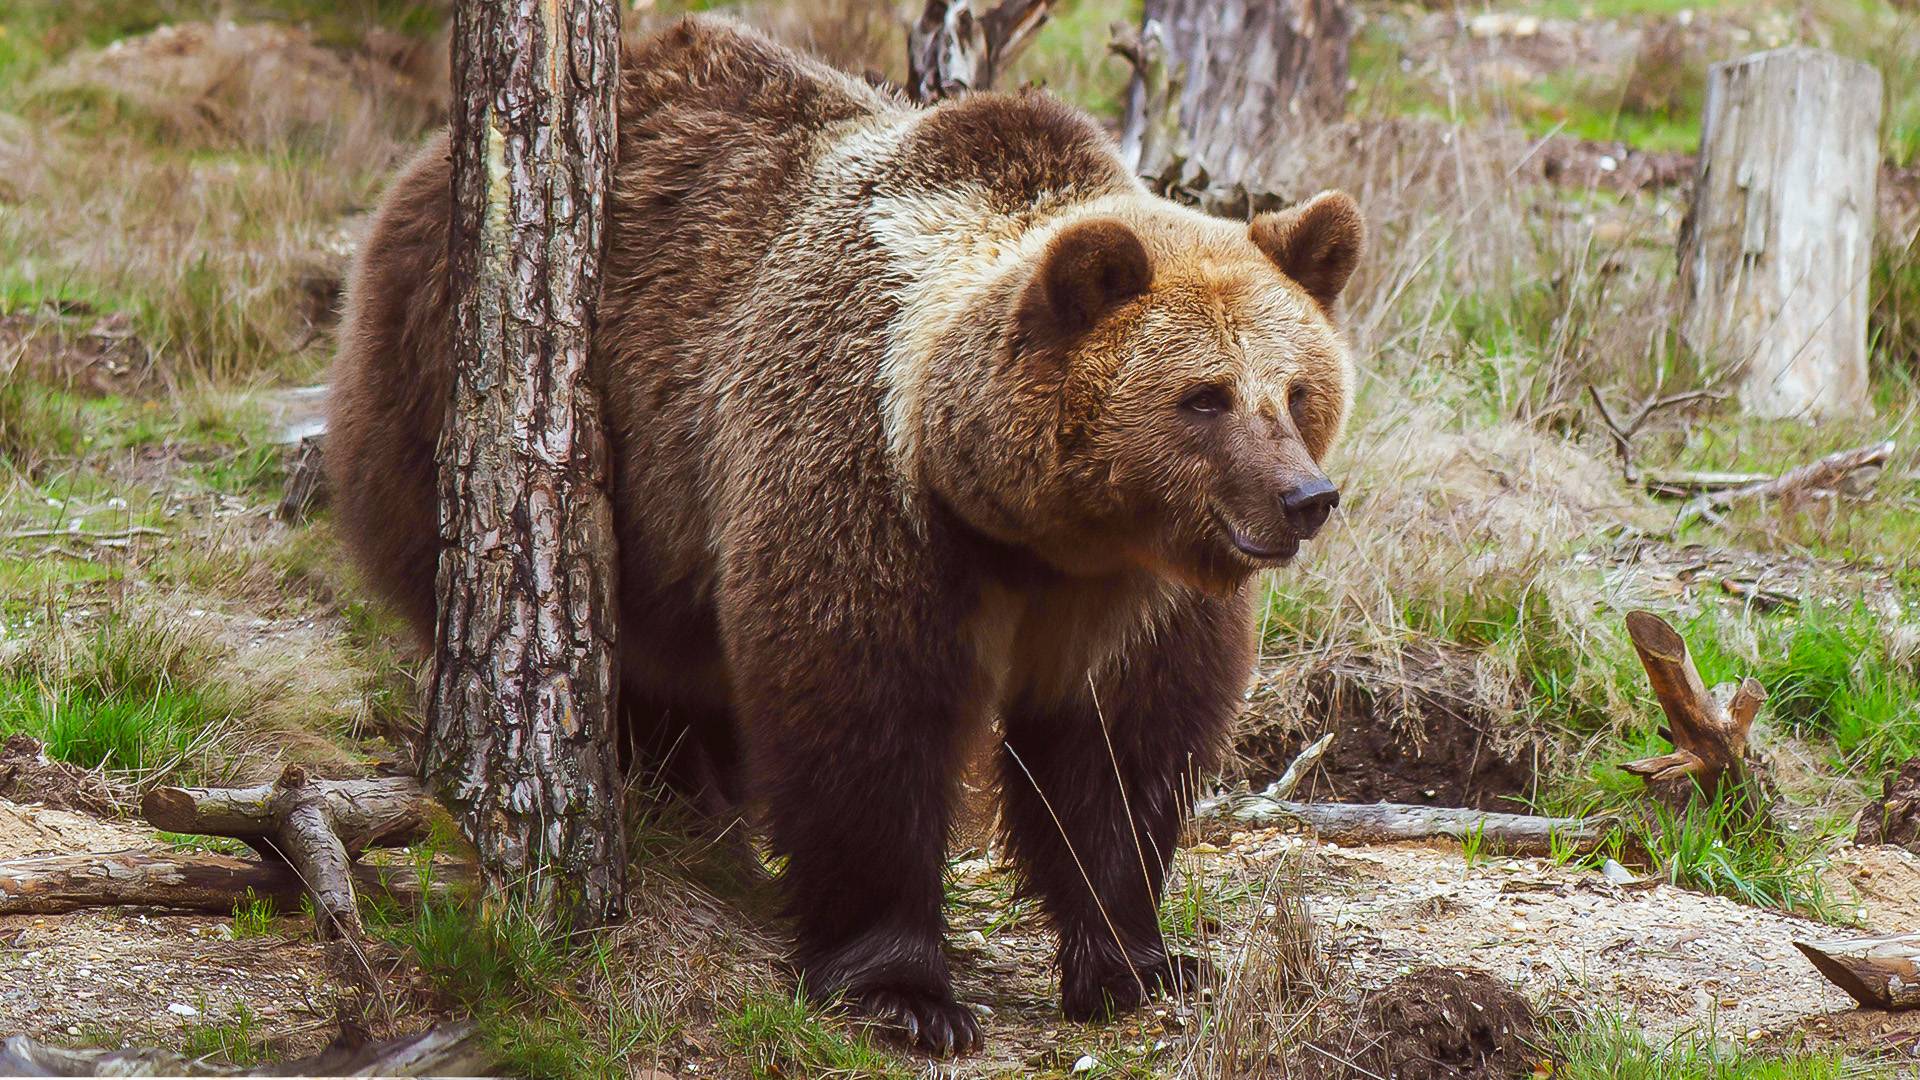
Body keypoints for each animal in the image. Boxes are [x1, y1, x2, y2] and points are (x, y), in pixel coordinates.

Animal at [334, 14, 1367, 1053]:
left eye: (1296, 390)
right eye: (1205, 396)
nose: (1304, 498)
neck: (1031, 529)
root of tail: (417, 175)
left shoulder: (1134, 589)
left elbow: (1119, 749)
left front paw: (1139, 961)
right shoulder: (863, 483)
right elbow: (862, 713)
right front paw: (904, 991)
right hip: (478, 401)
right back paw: (684, 801)